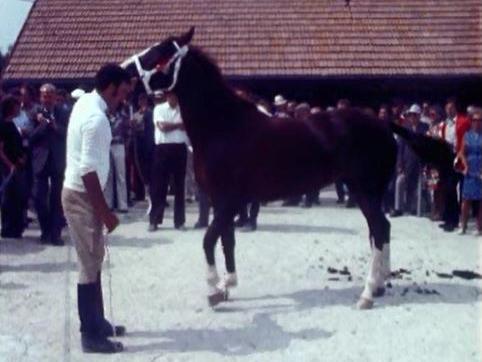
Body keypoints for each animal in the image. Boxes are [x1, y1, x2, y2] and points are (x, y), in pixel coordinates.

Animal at [121, 28, 456, 310]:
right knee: (379, 231)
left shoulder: (229, 201)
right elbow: (226, 240)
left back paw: (367, 294)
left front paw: (214, 290)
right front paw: (228, 285)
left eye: (159, 53)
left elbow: (208, 240)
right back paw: (381, 285)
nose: (123, 70)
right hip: (366, 191)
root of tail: (384, 123)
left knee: (380, 228)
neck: (225, 126)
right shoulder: (224, 201)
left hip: (365, 191)